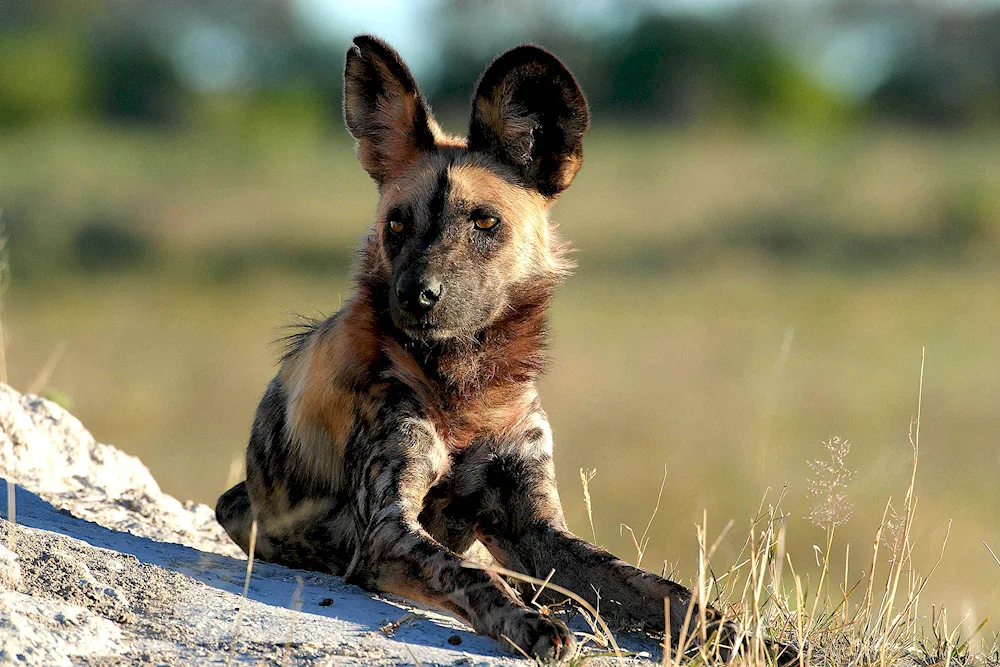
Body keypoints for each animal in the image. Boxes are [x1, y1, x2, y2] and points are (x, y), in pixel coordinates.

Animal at [217, 36, 744, 664]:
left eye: (484, 222)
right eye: (397, 226)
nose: (415, 294)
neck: (470, 382)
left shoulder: (535, 528)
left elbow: (661, 589)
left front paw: (743, 636)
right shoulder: (387, 530)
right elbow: (471, 574)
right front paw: (531, 623)